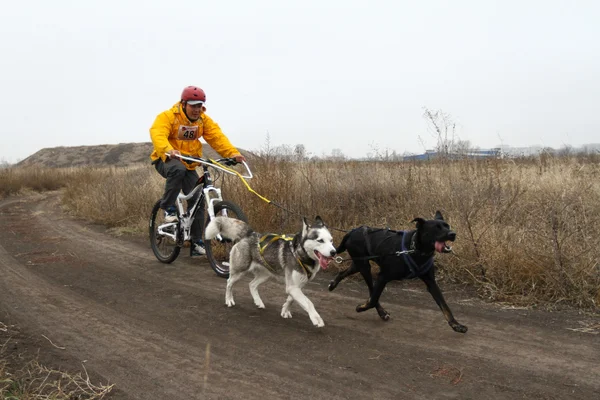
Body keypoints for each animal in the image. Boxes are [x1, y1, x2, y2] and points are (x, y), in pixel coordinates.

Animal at [205, 217, 338, 326]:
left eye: (331, 240)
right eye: (320, 240)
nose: (334, 252)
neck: (299, 253)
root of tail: (250, 233)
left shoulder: (296, 286)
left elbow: (290, 300)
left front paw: (285, 310)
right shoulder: (293, 287)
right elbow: (308, 302)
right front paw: (316, 318)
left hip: (265, 275)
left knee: (251, 284)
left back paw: (258, 302)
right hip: (240, 271)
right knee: (229, 283)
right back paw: (229, 300)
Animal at [330, 211, 466, 332]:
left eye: (447, 226)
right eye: (436, 228)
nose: (453, 234)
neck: (415, 248)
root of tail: (351, 232)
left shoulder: (431, 282)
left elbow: (444, 305)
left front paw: (456, 324)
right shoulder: (383, 276)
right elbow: (373, 299)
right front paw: (361, 308)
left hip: (359, 264)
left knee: (343, 273)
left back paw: (333, 284)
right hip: (364, 267)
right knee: (372, 292)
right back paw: (381, 312)